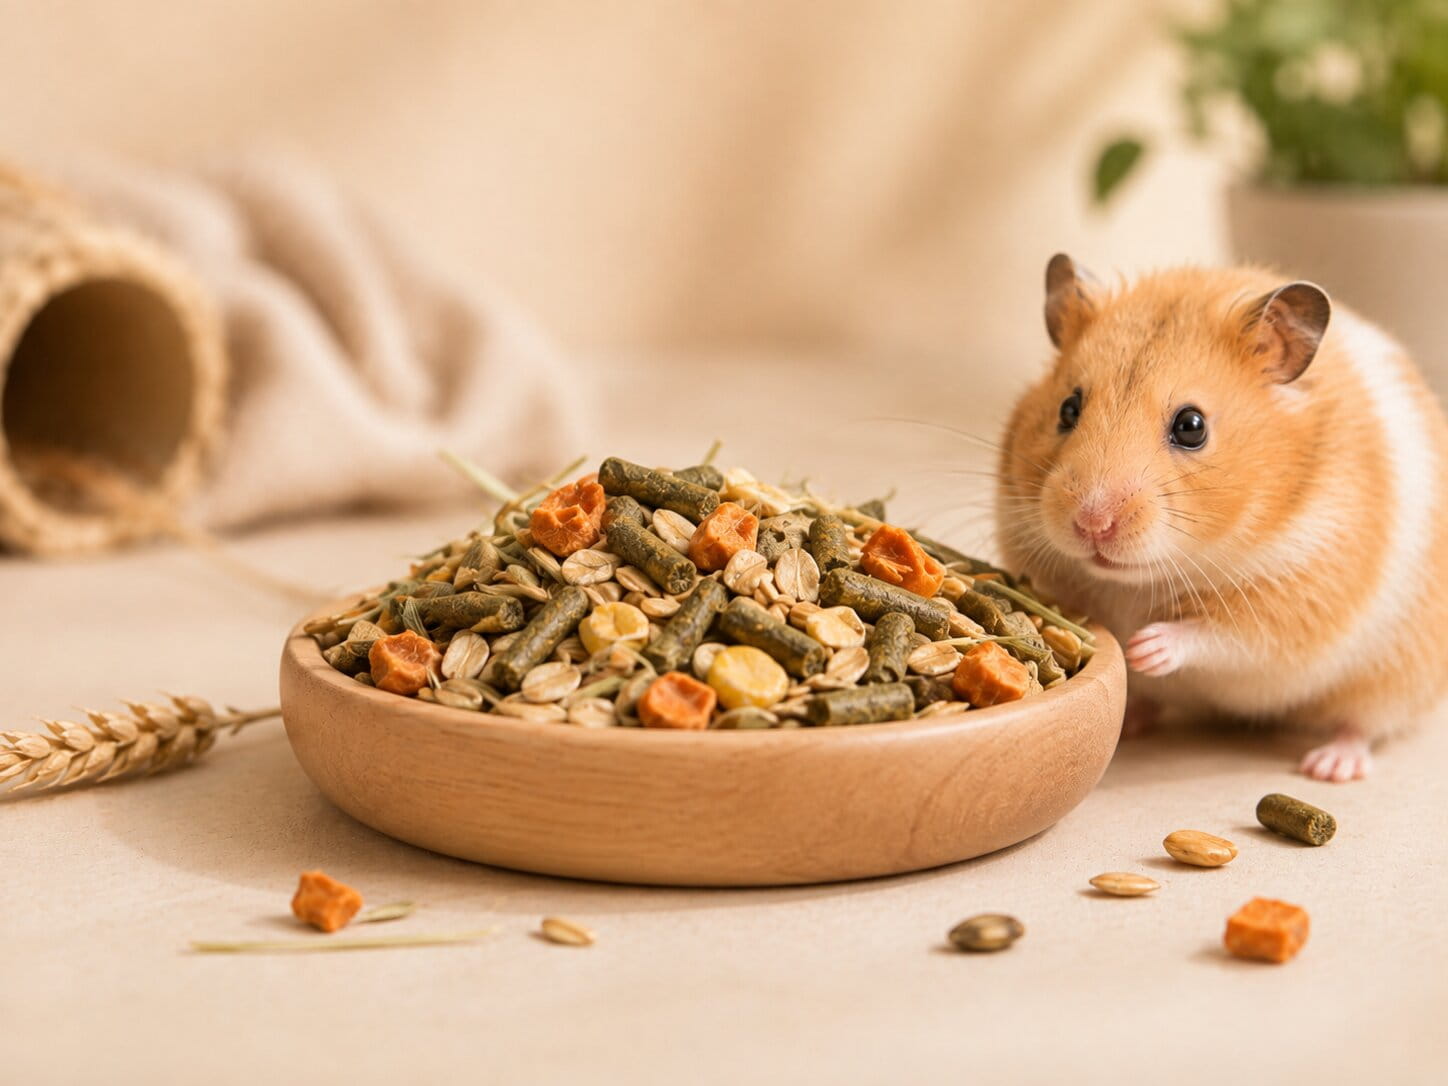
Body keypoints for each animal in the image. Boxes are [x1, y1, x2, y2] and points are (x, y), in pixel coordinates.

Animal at [996, 254, 1448, 782]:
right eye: (1068, 408)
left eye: (1192, 426)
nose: (1092, 524)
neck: (1141, 580)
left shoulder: (1305, 591)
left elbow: (1222, 636)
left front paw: (1143, 648)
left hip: (1396, 678)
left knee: (1362, 724)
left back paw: (1329, 766)